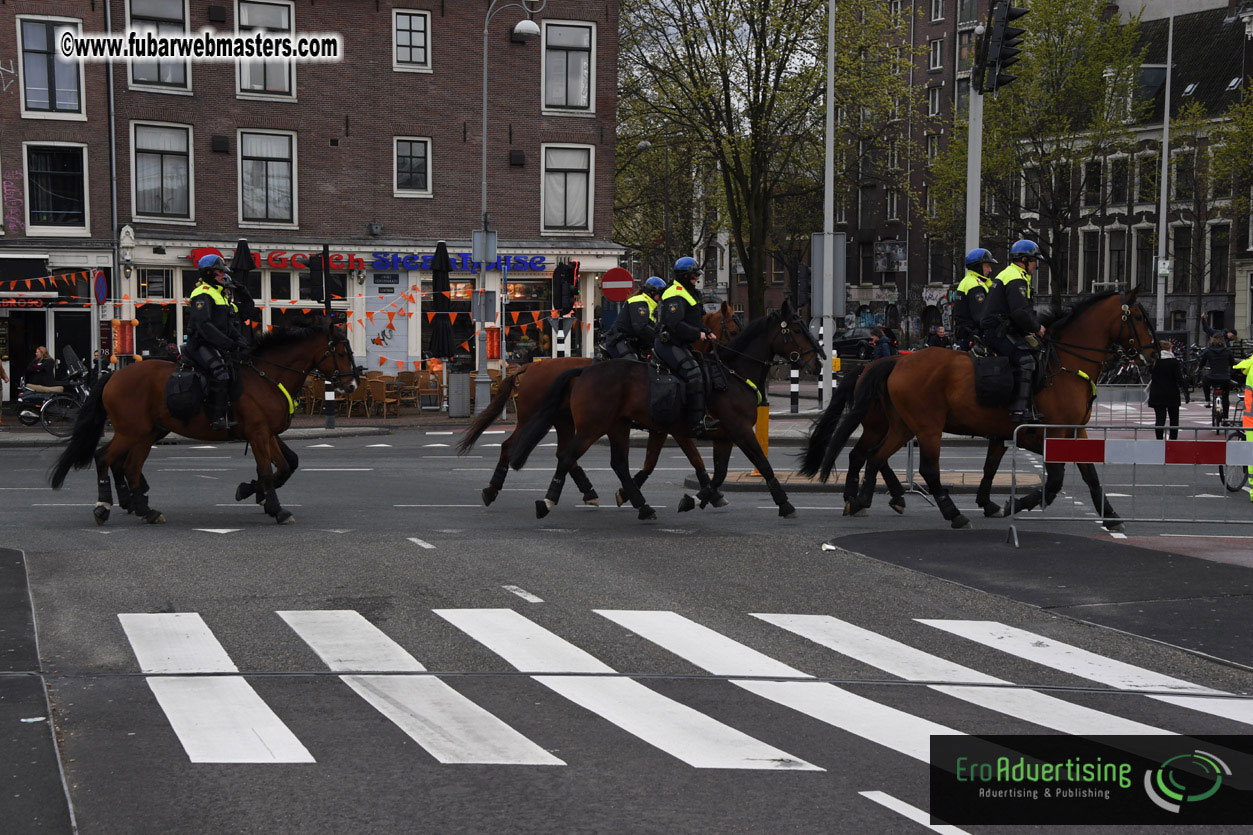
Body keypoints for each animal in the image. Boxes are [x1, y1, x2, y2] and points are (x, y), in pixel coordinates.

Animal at [50, 318, 355, 521]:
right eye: (340, 352)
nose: (351, 385)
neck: (267, 376)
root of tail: (113, 375)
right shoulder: (258, 433)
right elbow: (268, 471)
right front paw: (275, 508)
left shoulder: (268, 434)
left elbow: (286, 465)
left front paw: (251, 491)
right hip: (131, 431)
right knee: (105, 458)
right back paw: (105, 506)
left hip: (146, 433)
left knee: (129, 466)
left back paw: (144, 509)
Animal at [456, 302, 736, 506]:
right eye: (733, 328)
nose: (727, 359)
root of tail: (529, 367)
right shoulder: (673, 427)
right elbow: (693, 458)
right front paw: (711, 493)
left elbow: (684, 460)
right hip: (534, 420)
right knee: (512, 446)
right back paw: (492, 489)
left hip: (562, 421)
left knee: (563, 454)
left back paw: (588, 491)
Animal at [508, 299, 821, 521]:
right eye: (796, 329)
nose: (816, 363)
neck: (732, 373)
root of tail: (583, 371)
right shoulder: (738, 431)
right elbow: (761, 464)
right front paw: (785, 503)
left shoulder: (718, 436)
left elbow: (714, 472)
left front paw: (697, 498)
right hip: (590, 427)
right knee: (565, 457)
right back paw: (547, 501)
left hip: (613, 426)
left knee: (616, 464)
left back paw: (641, 505)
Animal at [801, 290, 1152, 526]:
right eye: (1137, 317)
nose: (1154, 351)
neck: (1063, 364)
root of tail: (896, 361)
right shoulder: (1048, 434)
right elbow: (1054, 479)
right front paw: (1014, 504)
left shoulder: (1067, 433)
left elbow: (1086, 474)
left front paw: (1111, 514)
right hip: (924, 427)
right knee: (922, 468)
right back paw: (951, 513)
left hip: (899, 426)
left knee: (871, 457)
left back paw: (864, 498)